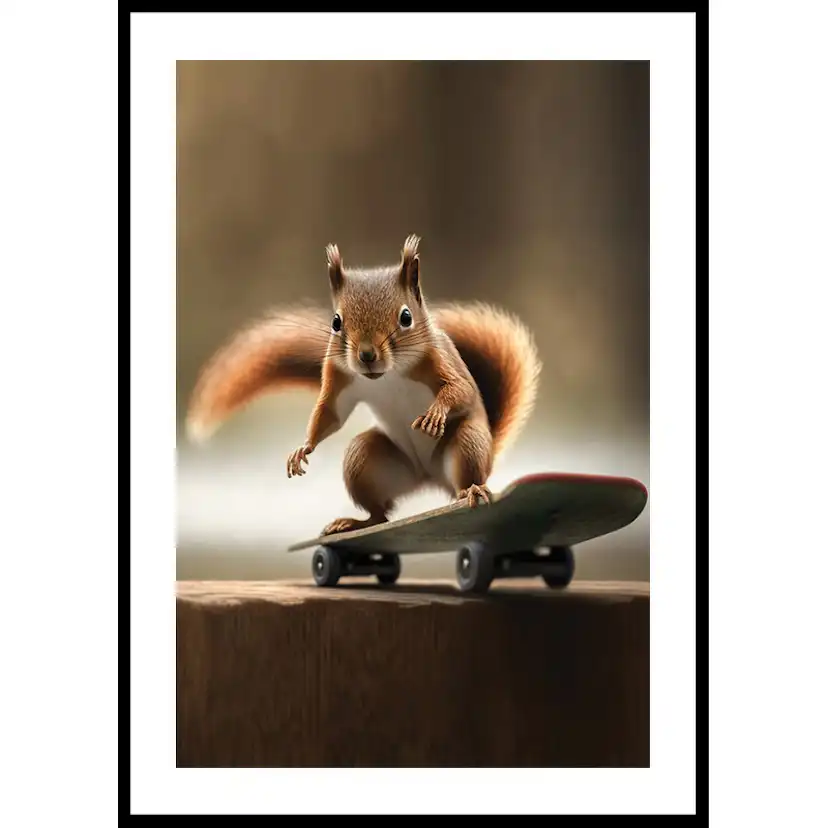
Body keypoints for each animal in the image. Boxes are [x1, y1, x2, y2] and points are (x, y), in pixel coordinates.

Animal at [185, 234, 541, 537]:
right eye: (336, 322)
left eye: (406, 317)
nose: (367, 355)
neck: (389, 375)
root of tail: (427, 477)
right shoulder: (338, 376)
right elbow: (331, 413)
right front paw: (304, 447)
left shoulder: (440, 361)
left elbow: (462, 389)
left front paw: (435, 412)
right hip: (366, 461)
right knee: (380, 513)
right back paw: (355, 522)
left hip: (467, 443)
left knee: (464, 477)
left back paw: (471, 490)